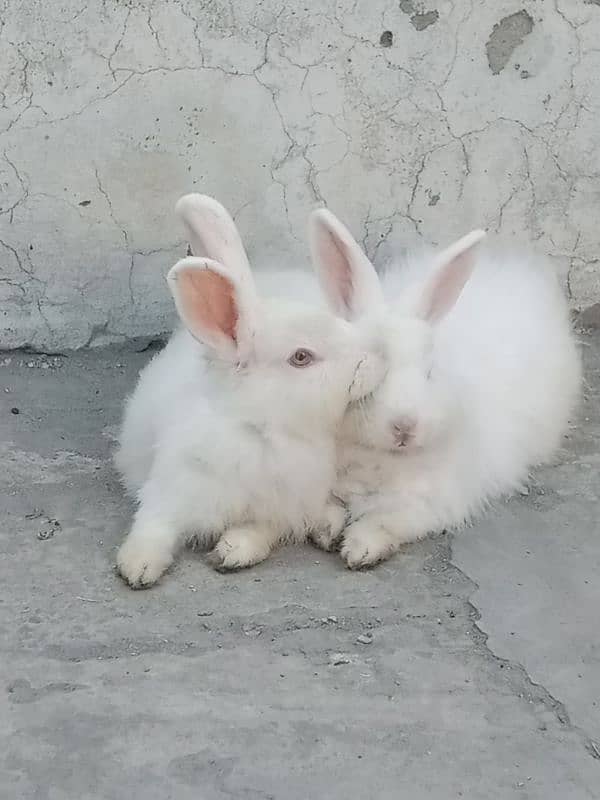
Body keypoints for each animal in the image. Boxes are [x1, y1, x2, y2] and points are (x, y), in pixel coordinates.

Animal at [114, 195, 382, 588]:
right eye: (301, 357)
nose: (375, 362)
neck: (261, 429)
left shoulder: (281, 507)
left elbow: (259, 531)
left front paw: (232, 552)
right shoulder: (171, 488)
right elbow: (153, 525)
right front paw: (137, 566)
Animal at [308, 209, 580, 564]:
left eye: (430, 372)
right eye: (368, 366)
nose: (405, 427)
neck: (380, 459)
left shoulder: (429, 503)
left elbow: (386, 521)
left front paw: (360, 549)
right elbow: (328, 508)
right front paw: (325, 533)